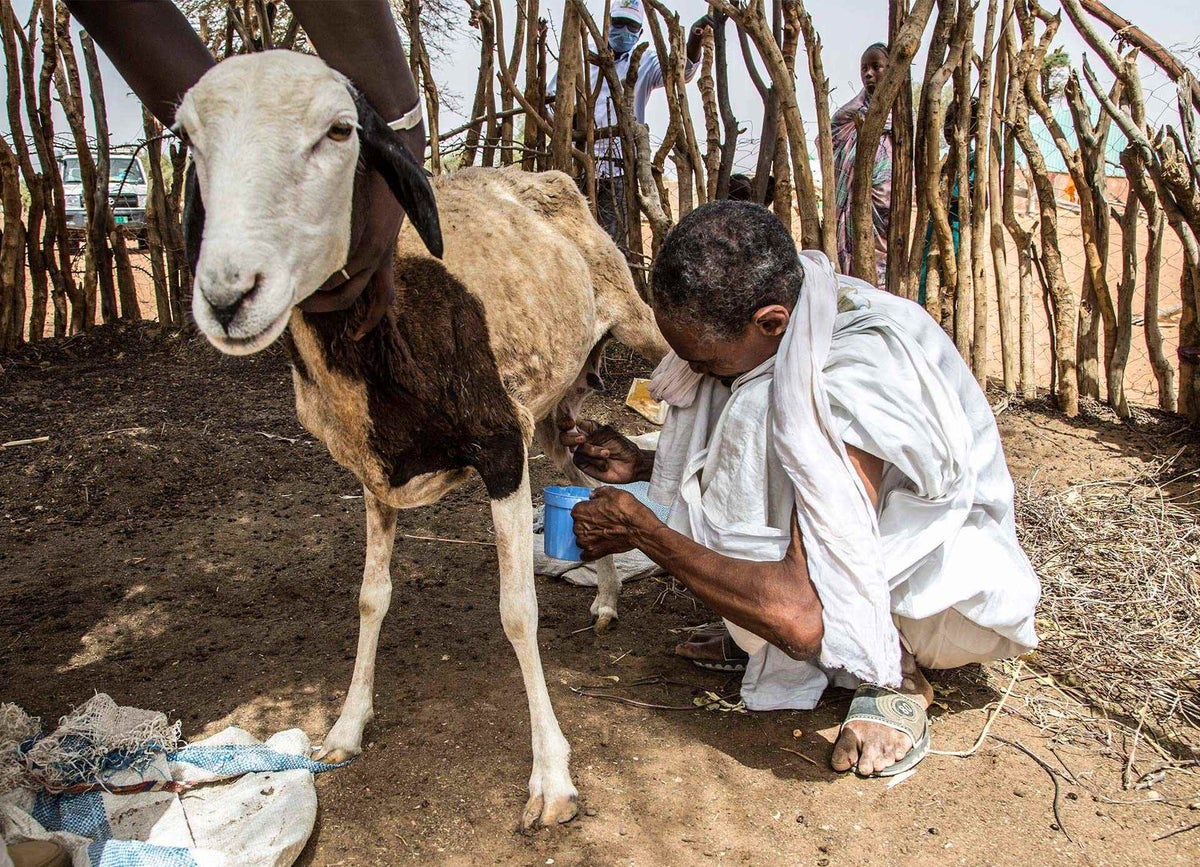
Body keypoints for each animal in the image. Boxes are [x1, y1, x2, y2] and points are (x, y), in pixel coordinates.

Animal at [175, 52, 667, 826]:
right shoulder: (374, 475)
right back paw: (608, 598)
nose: (227, 297)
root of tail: (551, 178)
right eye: (189, 140)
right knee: (579, 476)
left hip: (633, 322)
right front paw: (347, 725)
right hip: (549, 414)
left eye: (340, 131)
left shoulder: (499, 448)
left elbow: (517, 612)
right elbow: (371, 596)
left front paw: (551, 778)